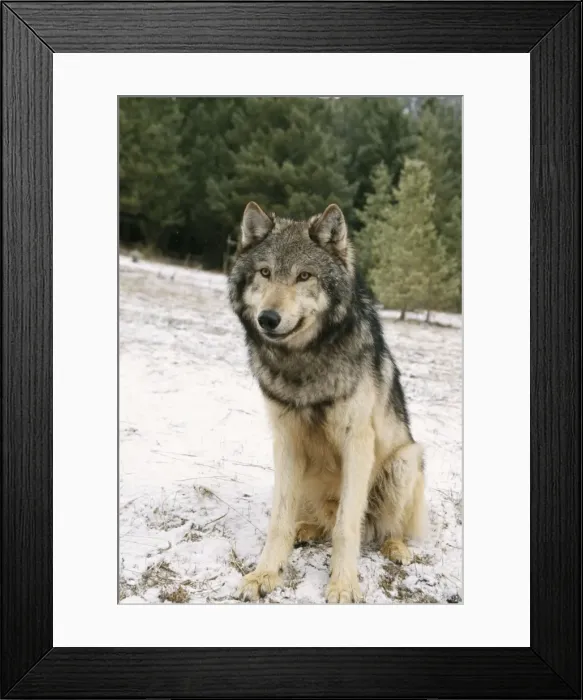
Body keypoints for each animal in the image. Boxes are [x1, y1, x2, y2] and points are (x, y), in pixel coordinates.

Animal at [228, 201, 427, 603]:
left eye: (304, 276)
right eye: (265, 272)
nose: (268, 318)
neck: (304, 361)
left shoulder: (358, 441)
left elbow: (347, 526)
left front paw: (344, 584)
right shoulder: (286, 441)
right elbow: (279, 521)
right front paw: (264, 574)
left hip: (405, 461)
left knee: (382, 527)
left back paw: (396, 548)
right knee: (318, 521)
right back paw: (306, 530)